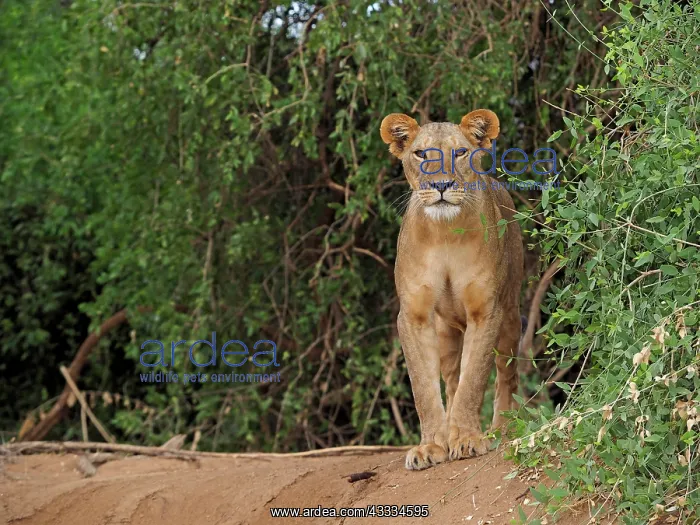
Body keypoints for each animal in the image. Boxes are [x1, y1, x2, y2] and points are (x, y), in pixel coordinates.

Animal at [380, 110, 524, 470]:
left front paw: (469, 439)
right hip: (445, 331)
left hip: (511, 315)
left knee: (506, 374)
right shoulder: (414, 316)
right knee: (450, 379)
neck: (444, 232)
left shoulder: (486, 311)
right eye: (420, 154)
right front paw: (431, 446)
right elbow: (424, 387)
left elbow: (475, 379)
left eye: (459, 153)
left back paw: (502, 428)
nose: (441, 185)